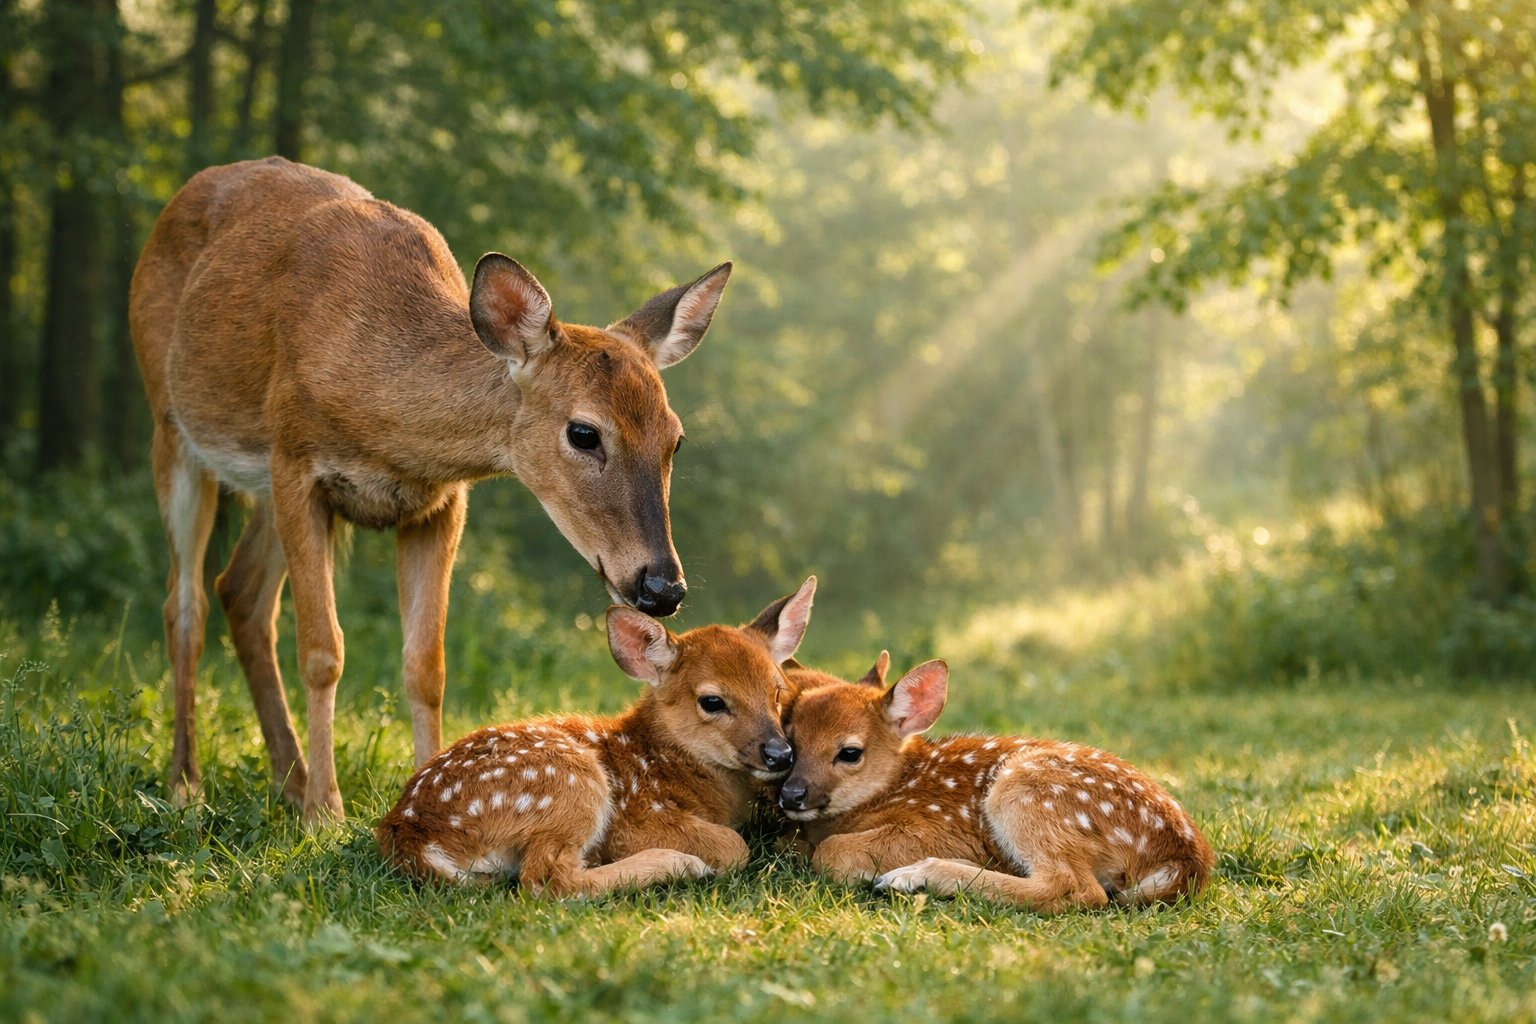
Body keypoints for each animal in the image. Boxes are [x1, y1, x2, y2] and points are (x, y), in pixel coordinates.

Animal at [129, 157, 732, 825]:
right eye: (584, 432)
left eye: (676, 439)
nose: (663, 587)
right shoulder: (295, 463)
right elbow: (323, 650)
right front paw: (325, 812)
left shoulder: (439, 503)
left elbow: (427, 664)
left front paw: (425, 790)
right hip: (171, 425)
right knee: (185, 605)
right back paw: (188, 783)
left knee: (240, 591)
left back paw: (288, 779)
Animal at [376, 578, 816, 895]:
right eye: (712, 700)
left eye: (777, 691)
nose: (780, 754)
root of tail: (410, 834)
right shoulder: (637, 818)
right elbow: (733, 846)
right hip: (569, 782)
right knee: (549, 881)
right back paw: (677, 864)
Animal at [777, 654, 1214, 913]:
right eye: (791, 743)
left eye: (850, 752)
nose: (792, 795)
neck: (897, 785)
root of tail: (1186, 859)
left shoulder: (942, 828)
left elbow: (830, 851)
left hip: (1026, 792)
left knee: (1076, 889)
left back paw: (912, 877)